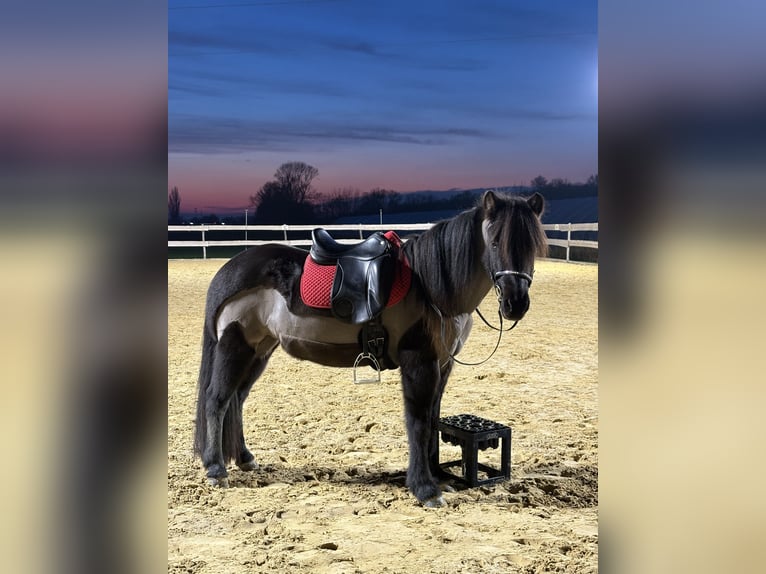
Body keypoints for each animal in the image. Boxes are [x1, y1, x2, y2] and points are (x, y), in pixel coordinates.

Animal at [193, 190, 547, 507]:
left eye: (533, 244)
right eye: (495, 242)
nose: (516, 304)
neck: (430, 286)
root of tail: (230, 270)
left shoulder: (443, 364)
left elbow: (434, 419)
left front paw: (436, 476)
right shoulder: (419, 362)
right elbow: (419, 422)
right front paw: (425, 489)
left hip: (260, 350)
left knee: (237, 399)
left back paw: (244, 458)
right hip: (235, 347)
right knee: (217, 399)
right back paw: (216, 469)